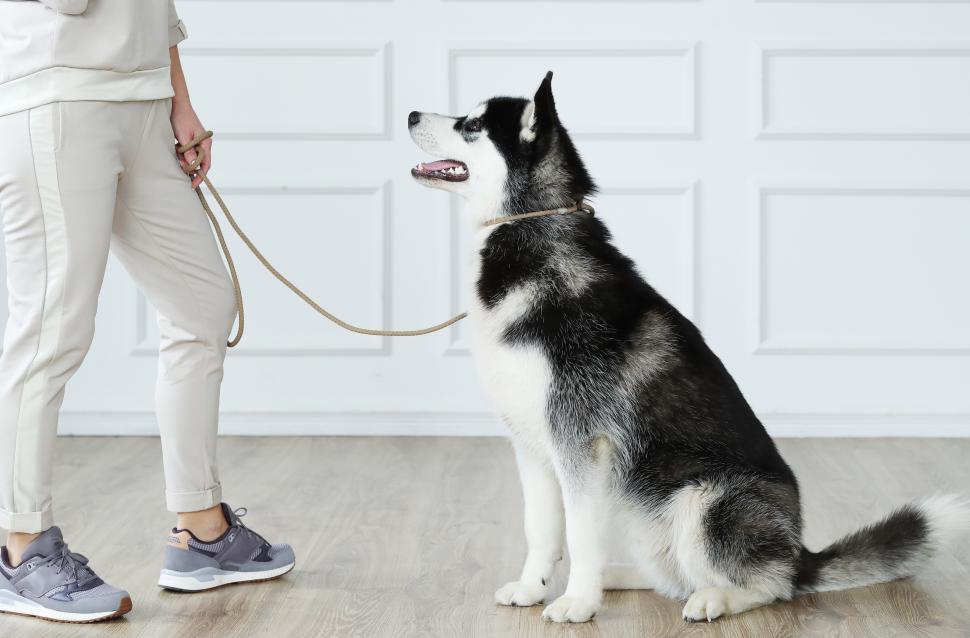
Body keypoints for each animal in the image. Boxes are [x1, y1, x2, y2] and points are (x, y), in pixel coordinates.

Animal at [406, 71, 968, 624]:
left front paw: (578, 603)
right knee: (675, 576)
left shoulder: (580, 445)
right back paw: (620, 577)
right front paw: (533, 588)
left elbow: (581, 535)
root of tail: (799, 551)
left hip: (702, 502)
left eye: (471, 125)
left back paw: (714, 599)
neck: (532, 229)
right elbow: (541, 531)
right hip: (640, 505)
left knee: (769, 587)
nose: (410, 114)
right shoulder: (532, 446)